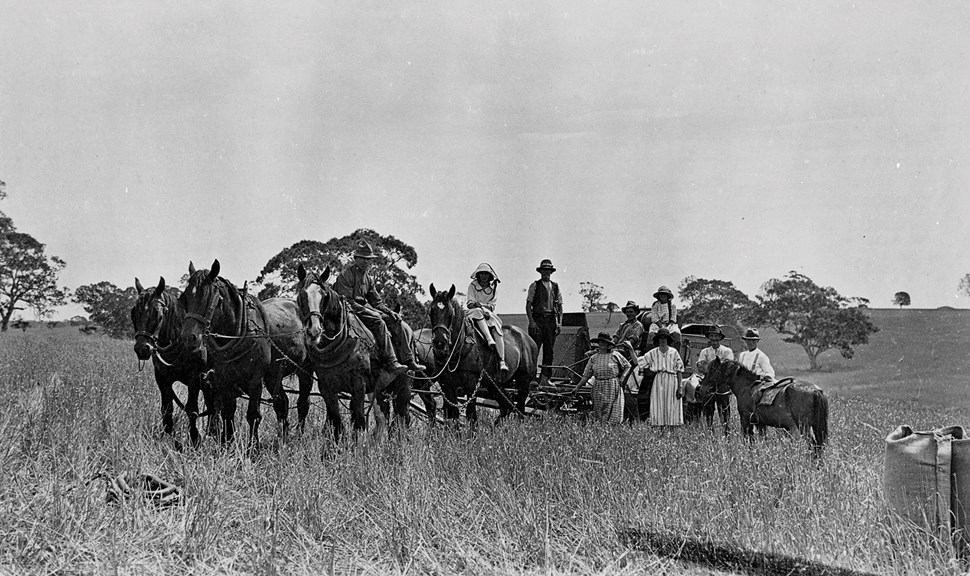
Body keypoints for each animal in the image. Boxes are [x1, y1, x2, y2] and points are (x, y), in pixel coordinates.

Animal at [130, 276, 216, 448]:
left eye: (157, 313)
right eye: (134, 313)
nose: (142, 348)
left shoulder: (195, 378)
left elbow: (192, 410)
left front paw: (195, 439)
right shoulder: (162, 378)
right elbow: (167, 410)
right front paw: (173, 442)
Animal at [176, 260, 308, 450]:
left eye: (207, 298)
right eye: (185, 298)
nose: (188, 337)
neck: (239, 331)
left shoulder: (255, 379)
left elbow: (253, 415)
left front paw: (253, 447)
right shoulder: (224, 379)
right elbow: (227, 412)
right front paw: (227, 444)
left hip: (305, 370)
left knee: (302, 403)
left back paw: (299, 436)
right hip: (273, 375)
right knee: (281, 403)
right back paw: (283, 438)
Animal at [294, 264, 410, 444]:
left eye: (324, 296)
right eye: (302, 295)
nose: (314, 331)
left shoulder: (358, 384)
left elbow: (359, 422)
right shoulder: (326, 386)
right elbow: (336, 422)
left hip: (402, 386)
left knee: (400, 418)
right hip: (379, 389)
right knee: (383, 417)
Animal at [428, 284, 540, 424]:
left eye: (450, 314)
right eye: (431, 312)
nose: (439, 342)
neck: (460, 348)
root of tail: (530, 340)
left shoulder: (471, 385)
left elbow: (471, 415)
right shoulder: (447, 385)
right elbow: (453, 416)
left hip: (523, 382)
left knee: (520, 409)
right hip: (495, 384)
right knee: (506, 406)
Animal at [692, 356, 828, 454]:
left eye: (712, 371)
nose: (702, 388)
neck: (747, 387)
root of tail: (815, 390)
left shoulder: (746, 420)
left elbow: (748, 440)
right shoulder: (761, 424)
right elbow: (763, 441)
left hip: (803, 426)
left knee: (812, 445)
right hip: (815, 426)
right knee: (819, 445)